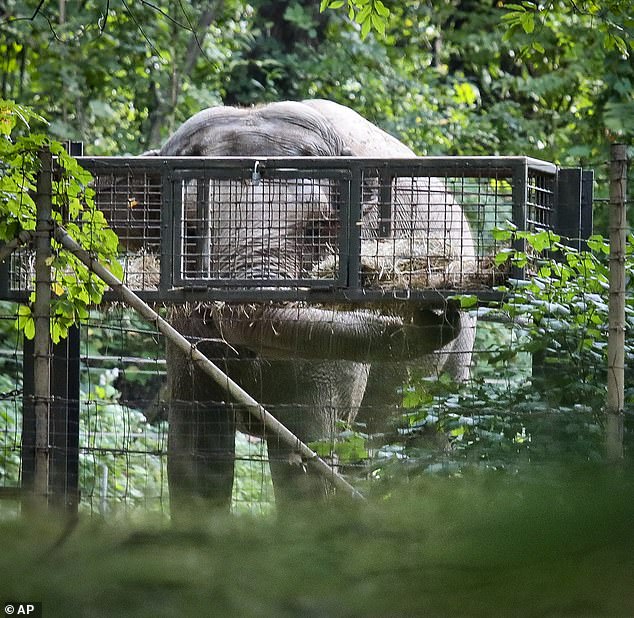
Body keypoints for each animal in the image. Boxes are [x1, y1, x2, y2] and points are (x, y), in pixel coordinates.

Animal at [144, 101, 474, 512]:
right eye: (191, 229)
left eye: (317, 229)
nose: (439, 310)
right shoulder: (182, 332)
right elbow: (196, 461)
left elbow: (305, 460)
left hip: (456, 360)